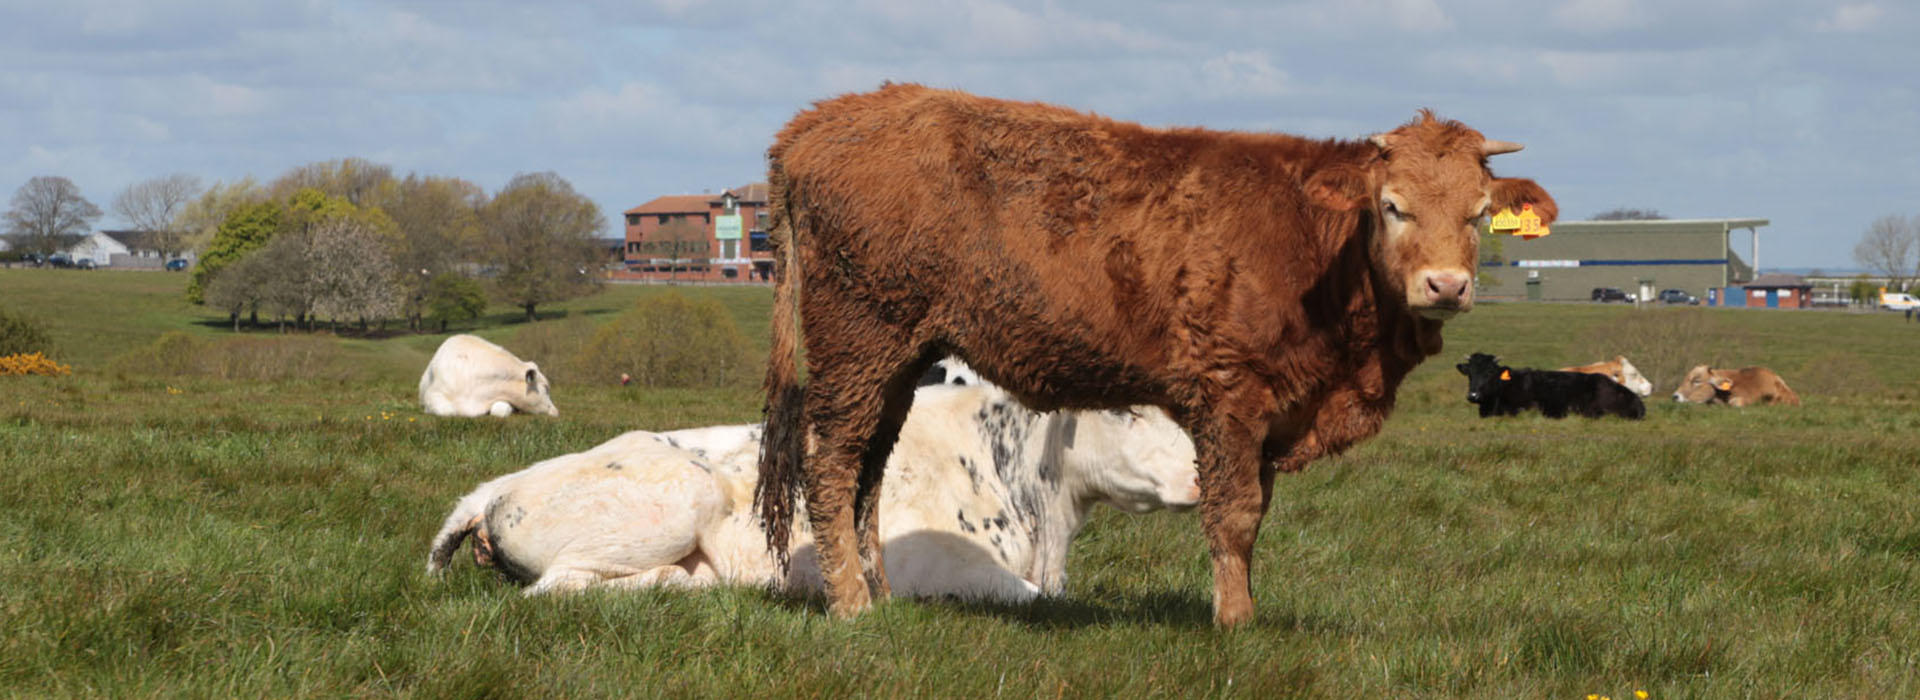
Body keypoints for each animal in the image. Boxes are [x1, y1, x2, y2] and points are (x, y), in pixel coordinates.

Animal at [432, 379, 1198, 602]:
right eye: (1126, 411)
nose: (1202, 476)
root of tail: (502, 482)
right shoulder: (951, 569)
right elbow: (1040, 602)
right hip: (679, 496)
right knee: (555, 588)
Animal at [752, 84, 1559, 625]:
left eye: (1478, 214)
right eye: (1392, 206)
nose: (1447, 284)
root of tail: (816, 122)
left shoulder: (1271, 413)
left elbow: (1255, 514)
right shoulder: (1230, 393)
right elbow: (1234, 513)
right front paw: (1235, 623)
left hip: (899, 360)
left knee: (868, 475)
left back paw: (882, 596)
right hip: (859, 342)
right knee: (831, 468)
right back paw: (852, 606)